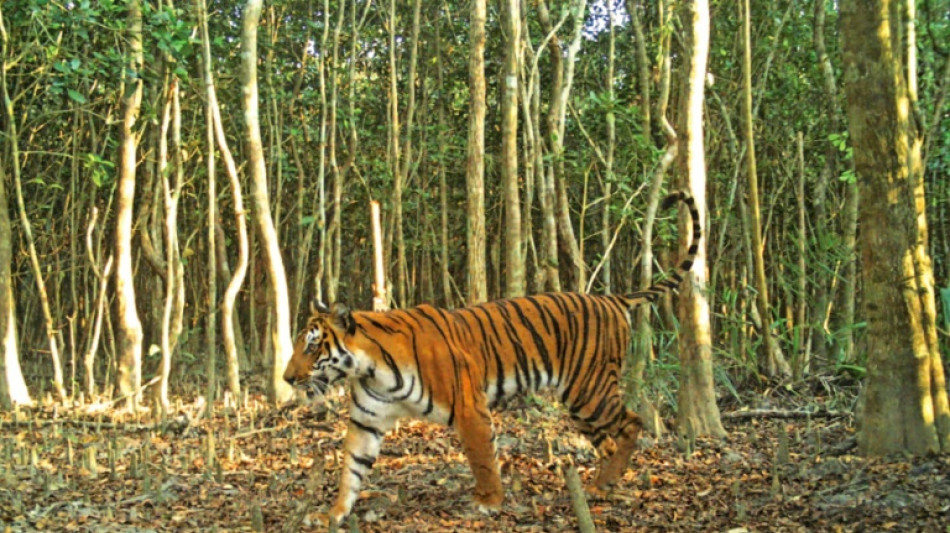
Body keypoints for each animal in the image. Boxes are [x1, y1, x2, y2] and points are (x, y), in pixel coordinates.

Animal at [282, 190, 701, 525]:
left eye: (311, 346)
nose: (287, 379)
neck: (370, 369)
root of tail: (611, 298)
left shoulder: (470, 408)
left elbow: (482, 457)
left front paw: (489, 502)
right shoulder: (367, 420)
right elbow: (350, 469)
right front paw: (333, 513)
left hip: (590, 391)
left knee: (632, 422)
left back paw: (606, 481)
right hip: (581, 402)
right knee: (609, 441)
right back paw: (601, 485)